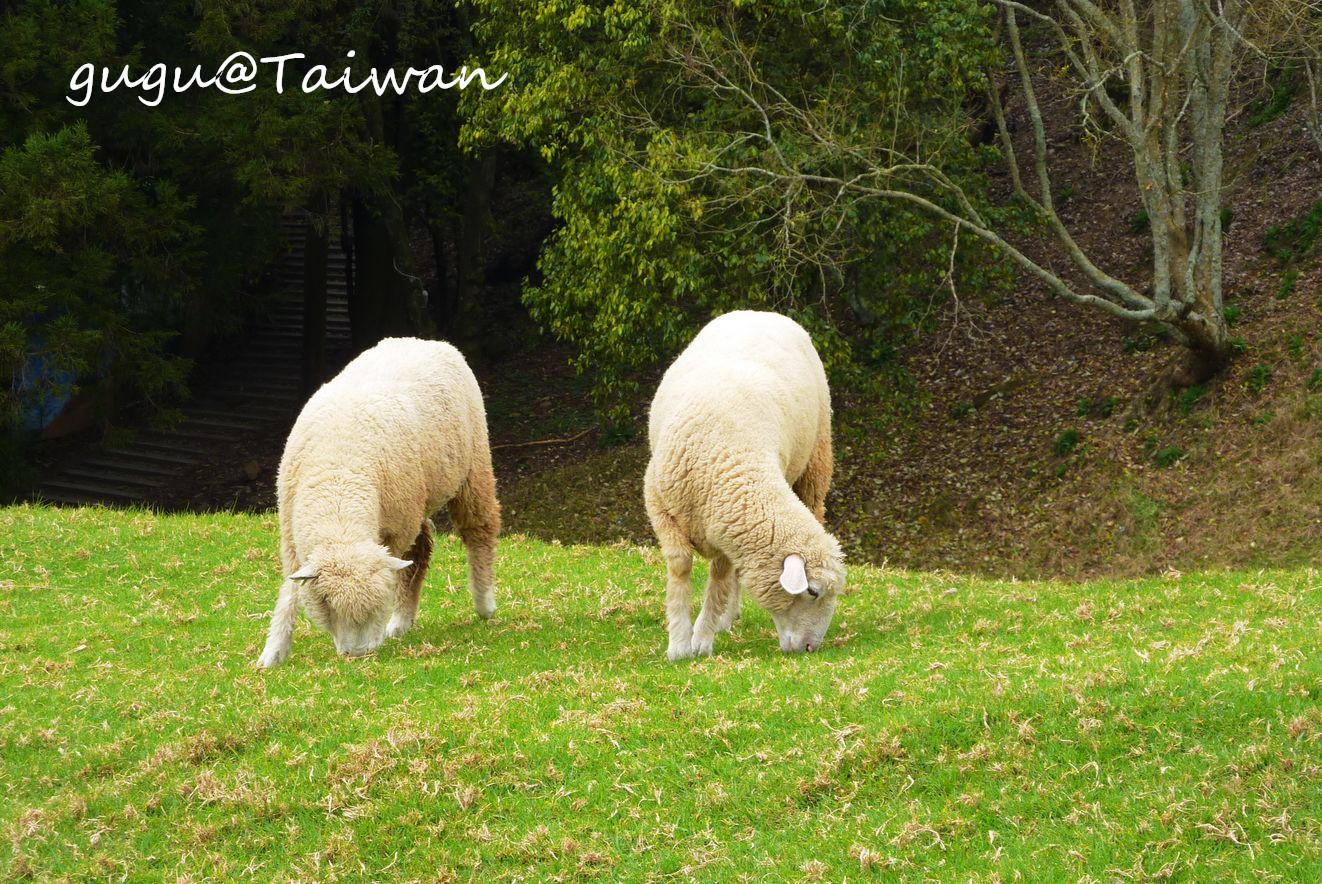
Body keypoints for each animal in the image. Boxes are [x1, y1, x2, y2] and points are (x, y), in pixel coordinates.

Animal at [256, 334, 499, 665]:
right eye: (327, 602)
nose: (357, 654)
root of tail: (424, 340)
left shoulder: (394, 532)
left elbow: (395, 573)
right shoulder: (292, 540)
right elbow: (290, 591)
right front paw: (274, 651)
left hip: (472, 469)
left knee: (479, 531)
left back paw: (484, 602)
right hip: (417, 501)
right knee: (421, 550)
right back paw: (402, 622)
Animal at [642, 309, 846, 655]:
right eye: (813, 592)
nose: (810, 648)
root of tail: (763, 312)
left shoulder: (727, 524)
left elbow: (719, 577)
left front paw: (703, 639)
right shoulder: (661, 503)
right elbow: (681, 565)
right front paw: (679, 643)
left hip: (815, 462)